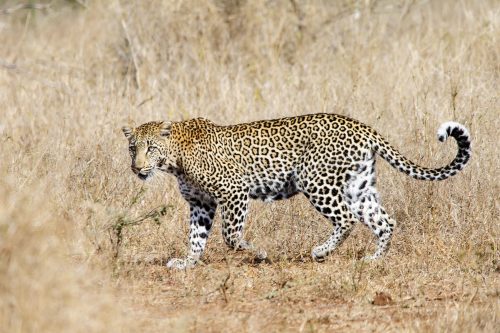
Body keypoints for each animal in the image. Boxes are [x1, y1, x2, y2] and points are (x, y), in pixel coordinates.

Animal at [123, 113, 470, 268]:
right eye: (132, 148)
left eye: (150, 148)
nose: (136, 168)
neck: (175, 159)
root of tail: (361, 126)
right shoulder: (200, 204)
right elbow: (196, 238)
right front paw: (187, 263)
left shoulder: (234, 191)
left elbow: (231, 236)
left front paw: (259, 254)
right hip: (358, 186)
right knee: (384, 221)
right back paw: (372, 259)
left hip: (315, 181)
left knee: (346, 219)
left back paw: (321, 252)